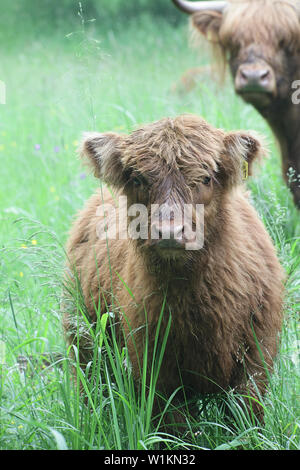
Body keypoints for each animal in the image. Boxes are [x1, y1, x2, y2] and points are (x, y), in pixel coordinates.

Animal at [62, 114, 284, 426]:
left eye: (205, 177)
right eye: (138, 178)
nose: (169, 231)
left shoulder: (256, 355)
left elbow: (246, 414)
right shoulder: (155, 367)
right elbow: (175, 425)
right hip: (85, 342)